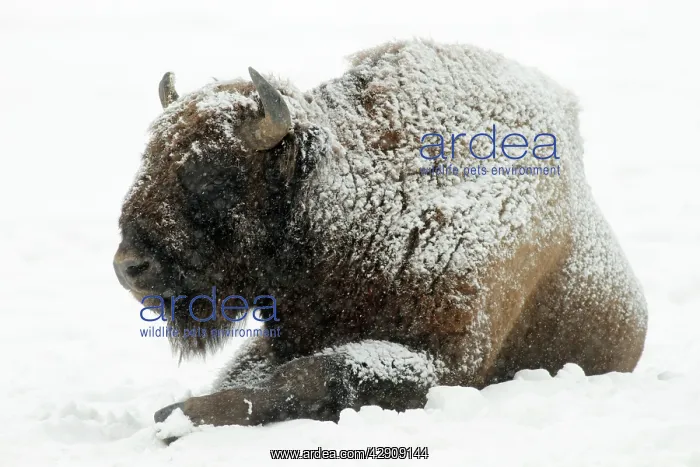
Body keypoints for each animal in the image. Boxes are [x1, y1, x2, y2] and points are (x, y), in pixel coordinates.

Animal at [113, 39, 648, 430]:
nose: (129, 266)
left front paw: (176, 417)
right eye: (149, 158)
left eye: (210, 173)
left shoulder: (448, 361)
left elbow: (315, 375)